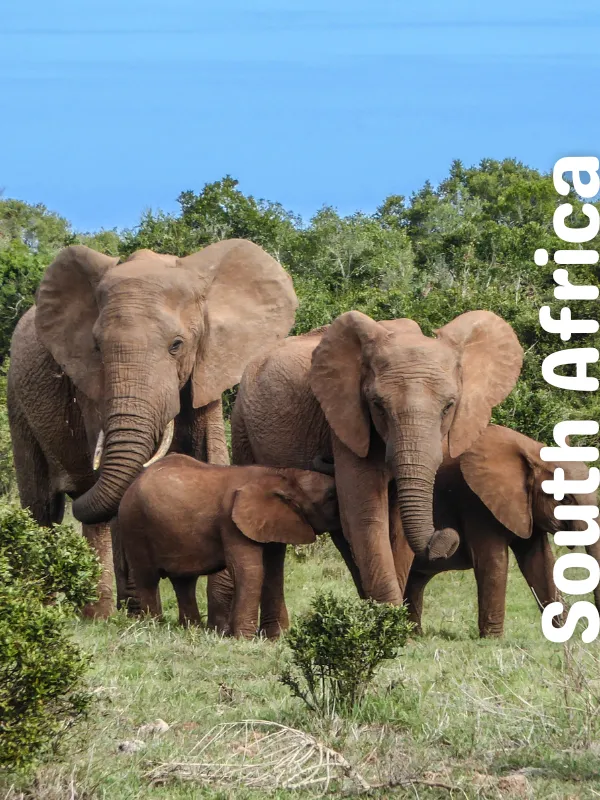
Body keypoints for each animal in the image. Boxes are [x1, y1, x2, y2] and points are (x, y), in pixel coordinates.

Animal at [7, 240, 297, 617]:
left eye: (177, 345)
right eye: (97, 347)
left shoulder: (207, 367)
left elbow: (212, 455)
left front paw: (219, 617)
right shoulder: (91, 387)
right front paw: (140, 612)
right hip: (16, 399)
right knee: (42, 507)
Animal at [117, 454, 339, 637]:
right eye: (330, 496)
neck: (283, 475)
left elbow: (273, 571)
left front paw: (277, 638)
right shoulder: (231, 521)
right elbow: (249, 570)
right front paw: (244, 639)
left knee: (184, 582)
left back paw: (191, 630)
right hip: (134, 525)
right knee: (147, 579)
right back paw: (153, 627)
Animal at [212, 310, 523, 632]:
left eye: (449, 406)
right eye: (378, 405)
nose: (446, 536)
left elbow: (396, 525)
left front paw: (392, 627)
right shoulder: (346, 421)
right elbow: (366, 515)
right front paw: (389, 626)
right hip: (242, 425)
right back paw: (276, 634)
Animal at [401, 424, 600, 638]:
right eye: (566, 499)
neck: (532, 451)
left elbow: (540, 561)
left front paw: (562, 635)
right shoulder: (474, 500)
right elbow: (493, 561)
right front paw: (493, 640)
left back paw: (414, 635)